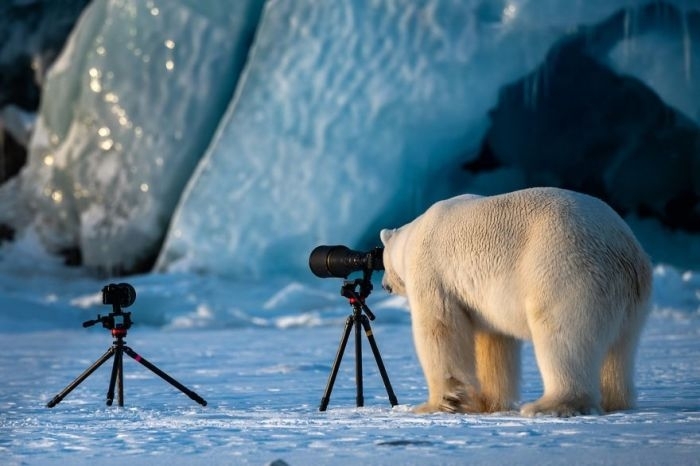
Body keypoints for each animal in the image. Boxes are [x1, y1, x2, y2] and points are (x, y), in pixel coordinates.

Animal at [380, 187, 652, 417]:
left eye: (382, 262)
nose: (384, 285)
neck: (413, 235)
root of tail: (624, 249)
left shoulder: (432, 272)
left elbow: (440, 330)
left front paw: (436, 405)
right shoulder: (484, 301)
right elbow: (494, 342)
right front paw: (487, 403)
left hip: (566, 271)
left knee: (562, 337)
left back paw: (548, 405)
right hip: (630, 300)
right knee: (620, 349)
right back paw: (616, 401)